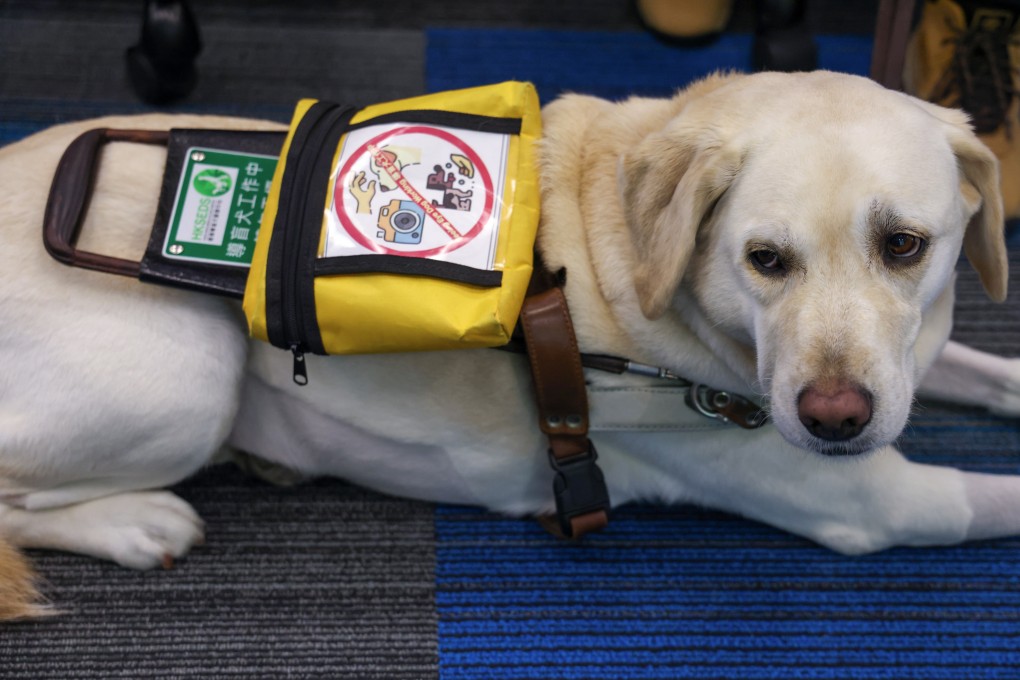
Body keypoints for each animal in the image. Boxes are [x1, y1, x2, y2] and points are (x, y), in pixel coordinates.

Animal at [1, 70, 1020, 623]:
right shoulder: (875, 501)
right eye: (764, 259)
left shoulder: (907, 369)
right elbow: (994, 498)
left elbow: (983, 371)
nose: (834, 419)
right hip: (188, 377)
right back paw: (136, 523)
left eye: (905, 245)